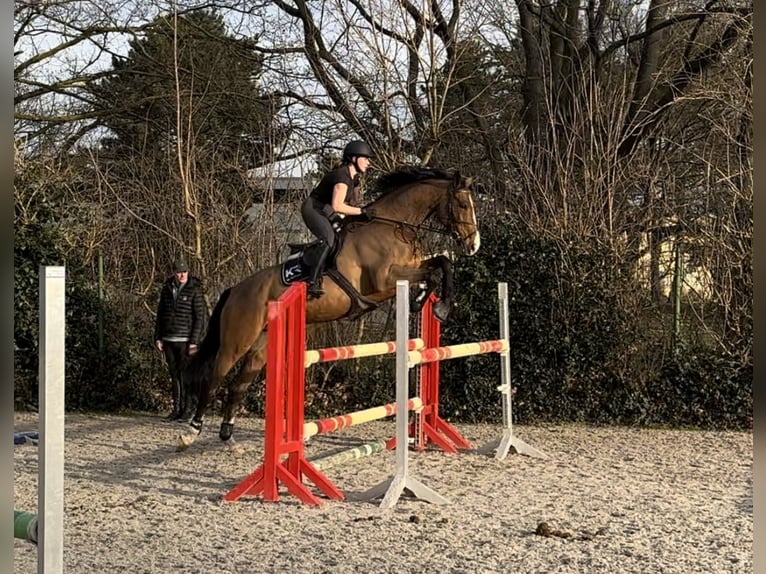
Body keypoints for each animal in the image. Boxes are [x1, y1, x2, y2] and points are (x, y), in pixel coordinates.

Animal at [177, 169, 484, 452]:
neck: (392, 226)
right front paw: (439, 307)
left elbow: (440, 264)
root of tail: (235, 290)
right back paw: (191, 432)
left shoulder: (408, 269)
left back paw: (228, 437)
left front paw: (424, 301)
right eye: (463, 204)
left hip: (261, 346)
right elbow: (438, 267)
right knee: (214, 380)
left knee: (237, 386)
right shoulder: (385, 279)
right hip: (237, 341)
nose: (473, 245)